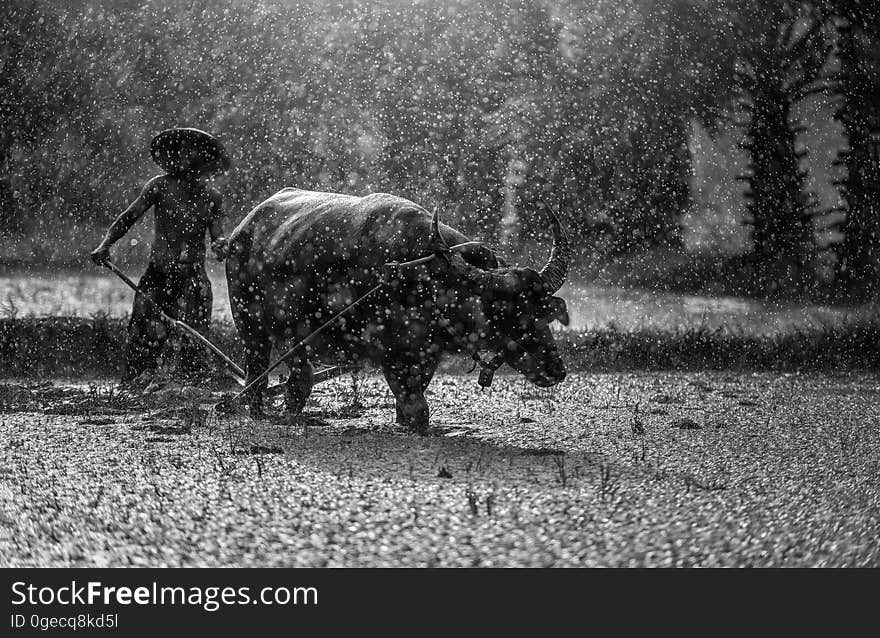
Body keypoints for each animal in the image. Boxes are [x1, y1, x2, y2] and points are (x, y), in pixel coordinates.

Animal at [225, 188, 572, 432]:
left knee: (299, 377)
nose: (556, 368)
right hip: (249, 324)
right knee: (260, 372)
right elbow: (417, 408)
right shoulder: (390, 353)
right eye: (506, 313)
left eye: (541, 312)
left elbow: (415, 395)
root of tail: (243, 228)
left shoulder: (427, 354)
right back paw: (258, 411)